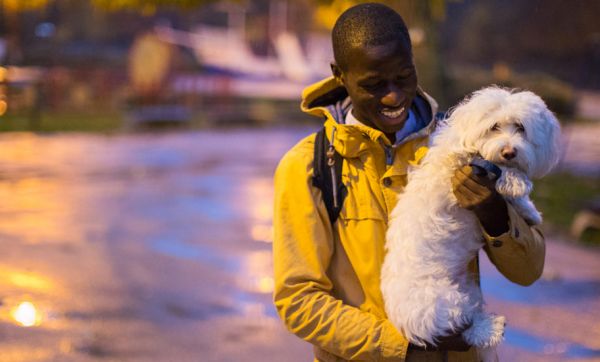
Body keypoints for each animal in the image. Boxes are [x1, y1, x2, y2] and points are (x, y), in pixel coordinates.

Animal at [382, 86, 560, 360]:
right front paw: (516, 181)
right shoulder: (458, 165)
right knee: (466, 327)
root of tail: (403, 323)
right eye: (494, 127)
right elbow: (497, 168)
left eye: (520, 127)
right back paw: (491, 328)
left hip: (465, 291)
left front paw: (528, 210)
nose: (509, 152)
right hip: (445, 303)